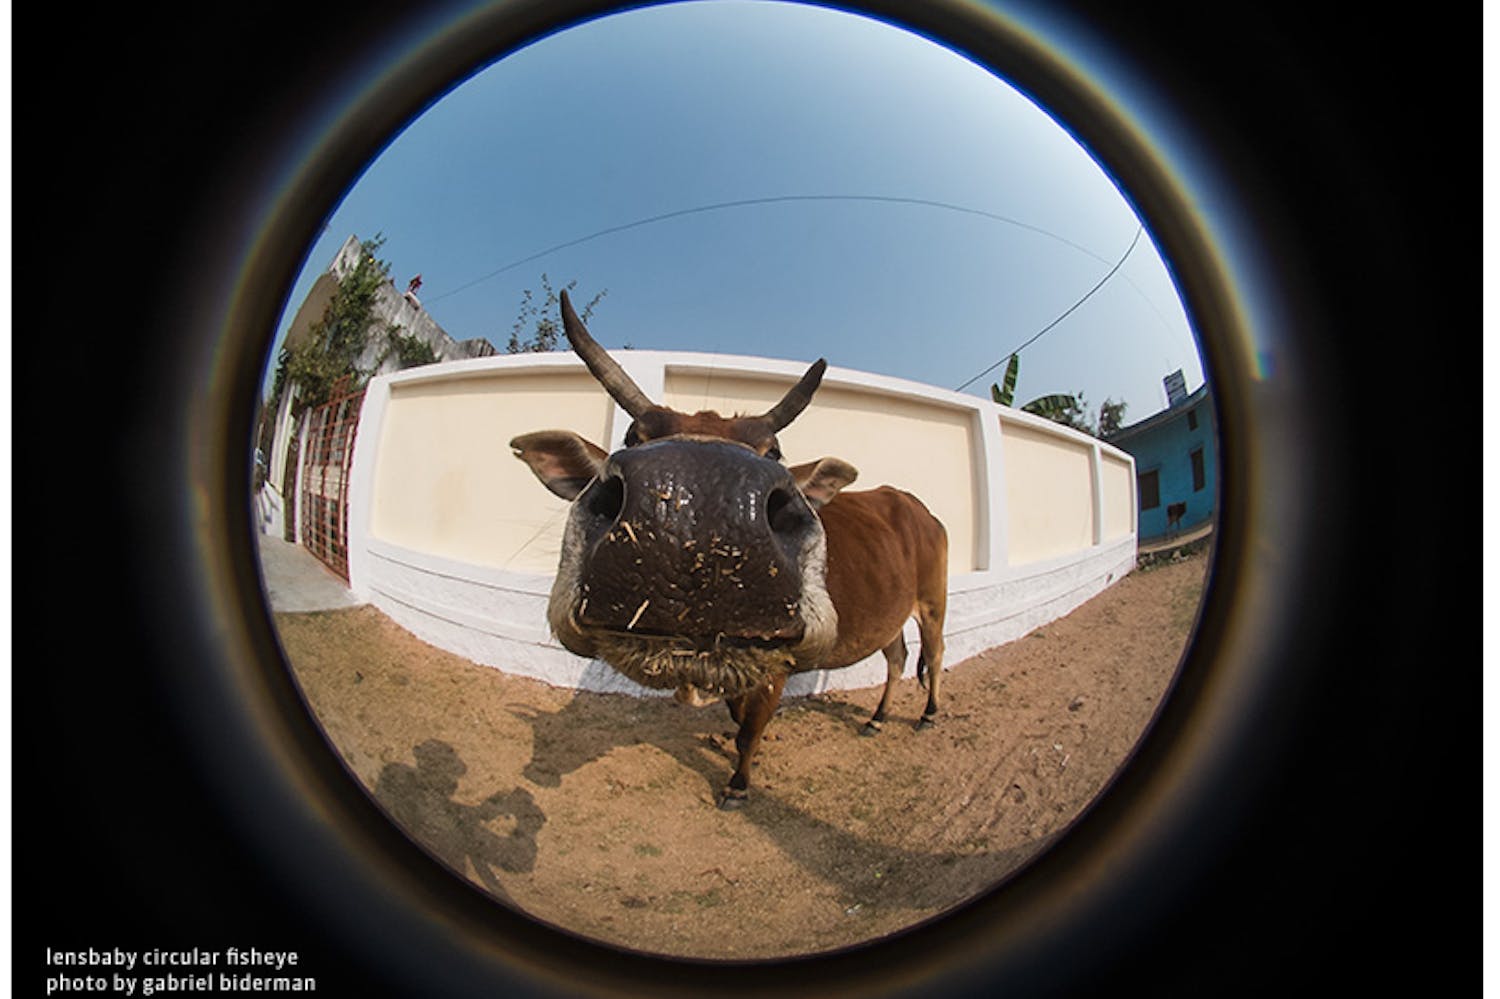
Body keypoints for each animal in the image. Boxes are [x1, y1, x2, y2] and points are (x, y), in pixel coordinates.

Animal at [510, 291, 948, 808]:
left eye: (773, 450)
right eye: (633, 436)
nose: (700, 502)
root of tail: (916, 507)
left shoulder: (776, 667)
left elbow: (749, 728)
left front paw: (739, 782)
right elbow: (739, 717)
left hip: (934, 602)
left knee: (935, 655)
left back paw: (929, 713)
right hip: (893, 613)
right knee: (896, 657)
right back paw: (877, 718)